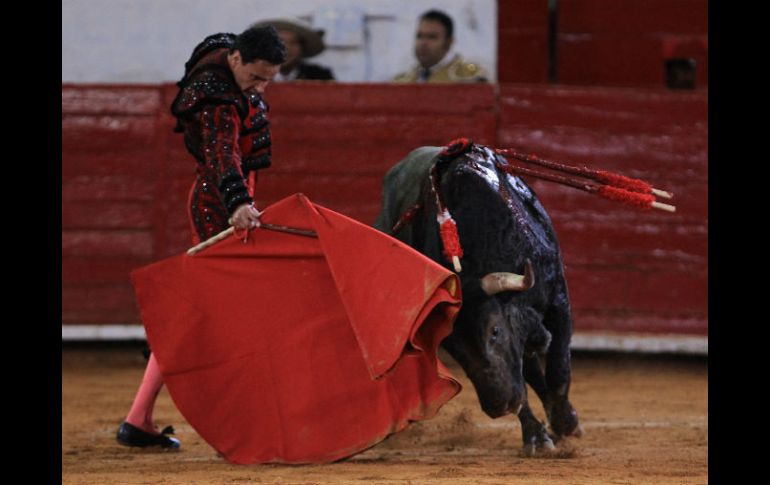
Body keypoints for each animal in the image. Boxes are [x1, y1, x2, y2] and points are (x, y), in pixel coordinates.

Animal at [374, 144, 584, 454]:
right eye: (451, 347)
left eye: (494, 332)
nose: (497, 406)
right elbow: (521, 377)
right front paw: (536, 436)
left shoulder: (558, 295)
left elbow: (559, 366)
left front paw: (565, 421)